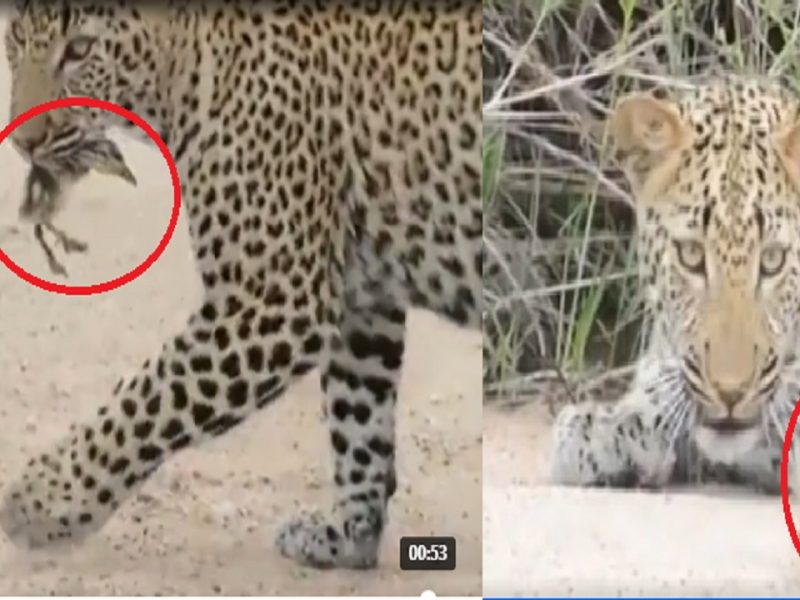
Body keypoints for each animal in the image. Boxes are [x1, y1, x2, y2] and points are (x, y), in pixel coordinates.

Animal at [0, 0, 482, 570]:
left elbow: (146, 401)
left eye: (80, 50)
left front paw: (41, 502)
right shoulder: (362, 297)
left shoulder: (274, 299)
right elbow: (358, 420)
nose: (25, 142)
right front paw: (347, 536)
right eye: (13, 39)